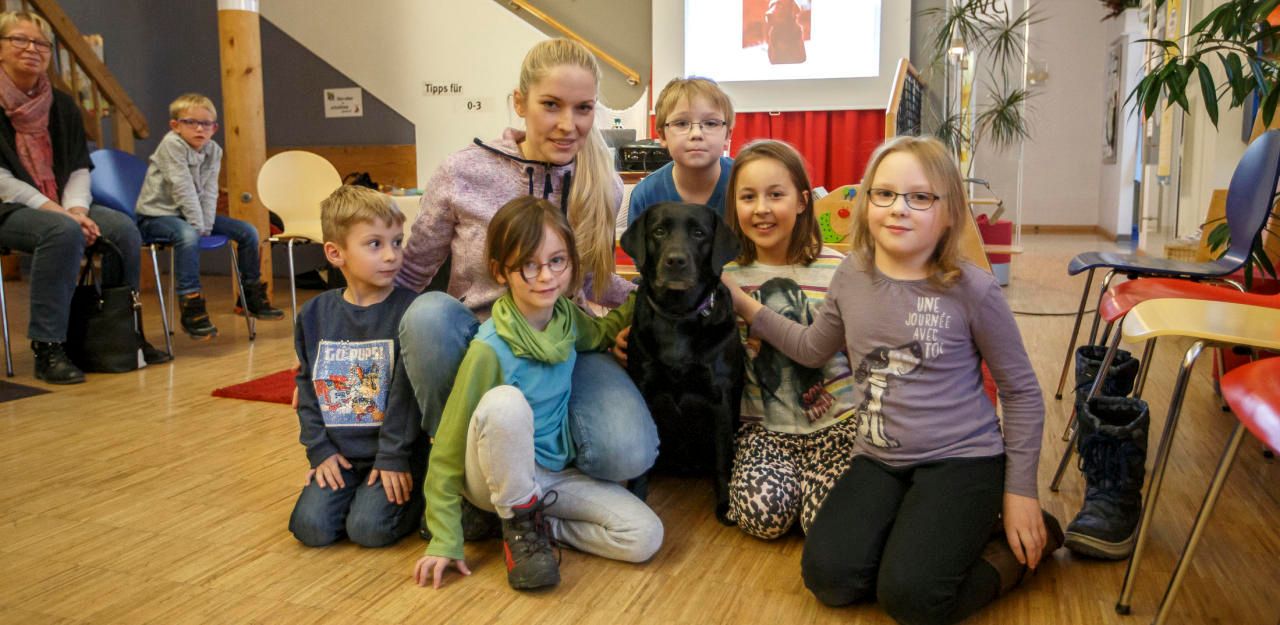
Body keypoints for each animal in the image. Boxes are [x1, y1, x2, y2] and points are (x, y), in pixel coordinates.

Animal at [620, 202, 744, 524]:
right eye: (659, 231)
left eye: (699, 233)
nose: (675, 261)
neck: (677, 316)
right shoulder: (644, 388)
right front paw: (637, 495)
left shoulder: (720, 399)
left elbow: (722, 460)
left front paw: (725, 505)